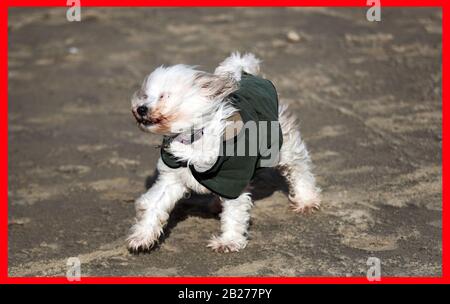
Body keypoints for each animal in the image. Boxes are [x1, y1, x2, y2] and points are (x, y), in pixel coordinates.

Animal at [128, 52, 322, 254]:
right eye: (145, 95)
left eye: (164, 96)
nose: (141, 108)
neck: (194, 137)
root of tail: (249, 73)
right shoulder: (172, 179)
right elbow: (153, 205)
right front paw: (142, 237)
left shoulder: (232, 181)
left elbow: (234, 215)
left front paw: (228, 241)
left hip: (282, 147)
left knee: (300, 168)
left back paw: (306, 199)